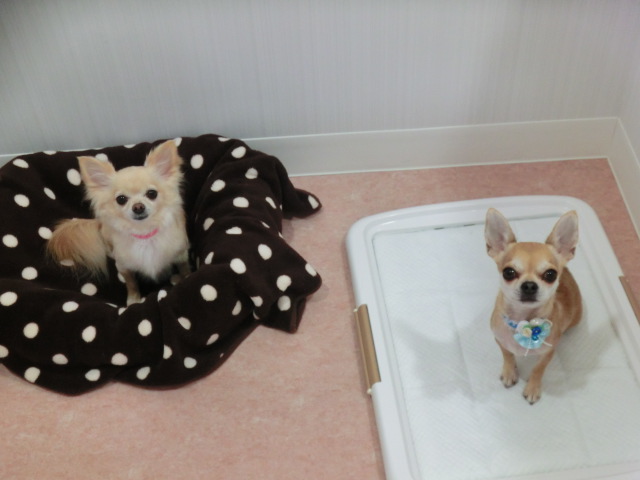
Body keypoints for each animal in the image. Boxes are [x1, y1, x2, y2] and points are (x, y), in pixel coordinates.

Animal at [47, 140, 190, 305]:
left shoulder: (181, 255)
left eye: (152, 194)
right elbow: (131, 284)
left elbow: (185, 271)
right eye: (121, 199)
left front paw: (185, 279)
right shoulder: (123, 266)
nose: (138, 207)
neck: (144, 233)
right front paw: (133, 301)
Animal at [485, 208, 582, 404]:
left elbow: (538, 369)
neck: (522, 321)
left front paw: (532, 387)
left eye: (550, 274)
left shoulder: (548, 353)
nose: (529, 285)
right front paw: (509, 372)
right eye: (508, 272)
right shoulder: (499, 340)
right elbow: (507, 355)